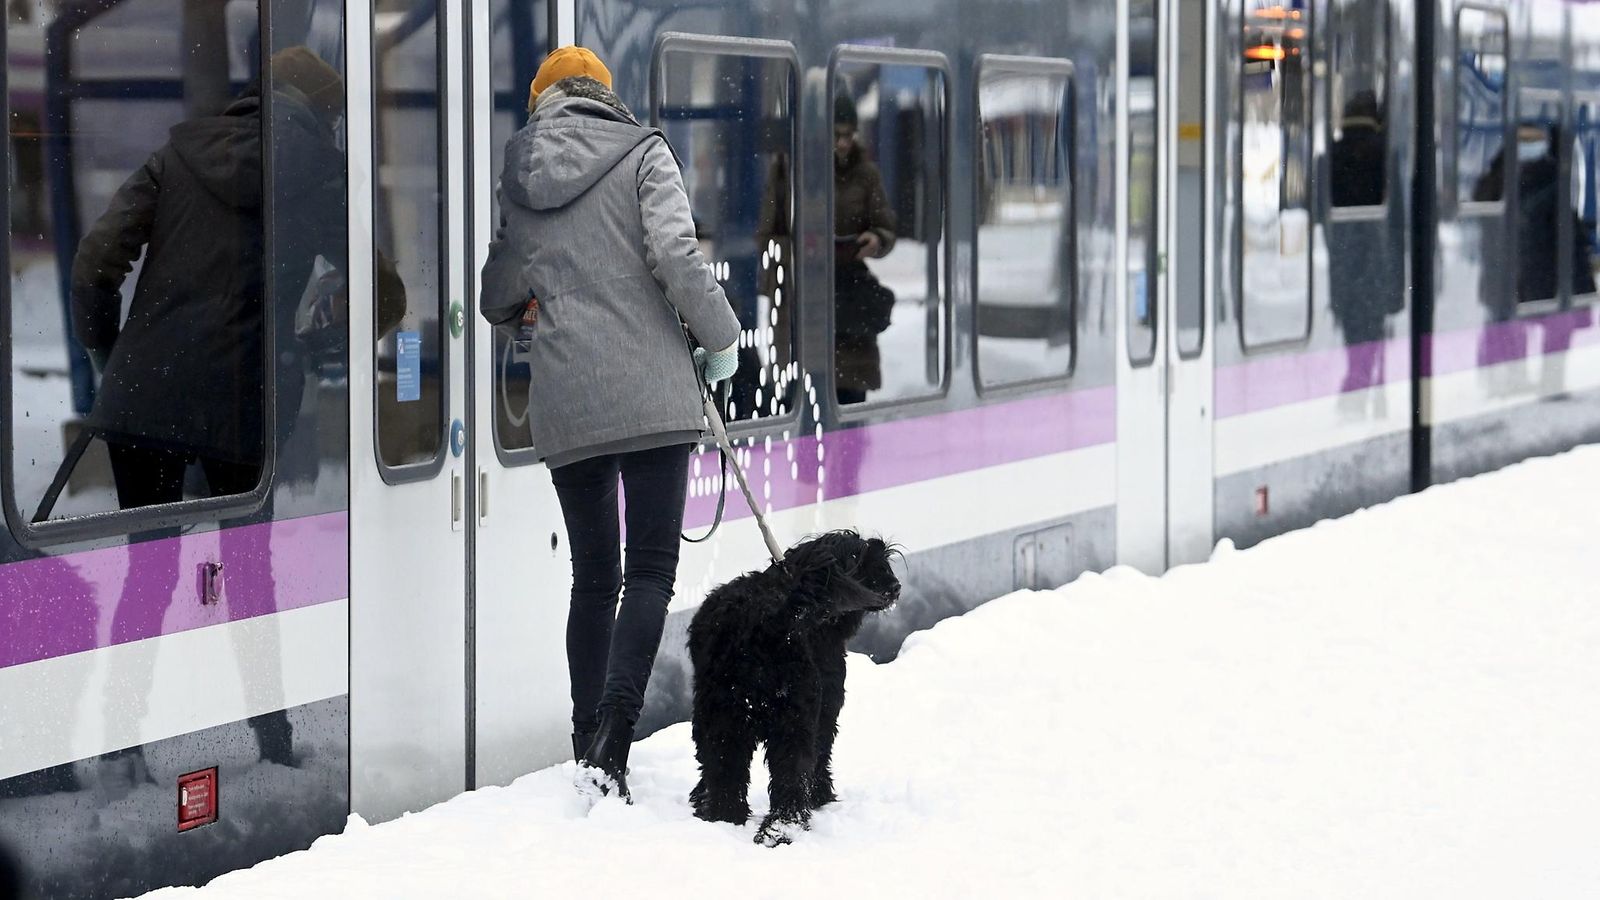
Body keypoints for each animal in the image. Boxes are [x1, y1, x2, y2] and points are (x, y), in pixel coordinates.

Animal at [684, 525, 902, 839]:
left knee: (725, 770)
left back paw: (725, 818)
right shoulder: (826, 709)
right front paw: (822, 795)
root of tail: (765, 625)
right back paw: (783, 829)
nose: (895, 586)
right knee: (791, 775)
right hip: (793, 718)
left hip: (721, 716)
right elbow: (821, 755)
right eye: (861, 560)